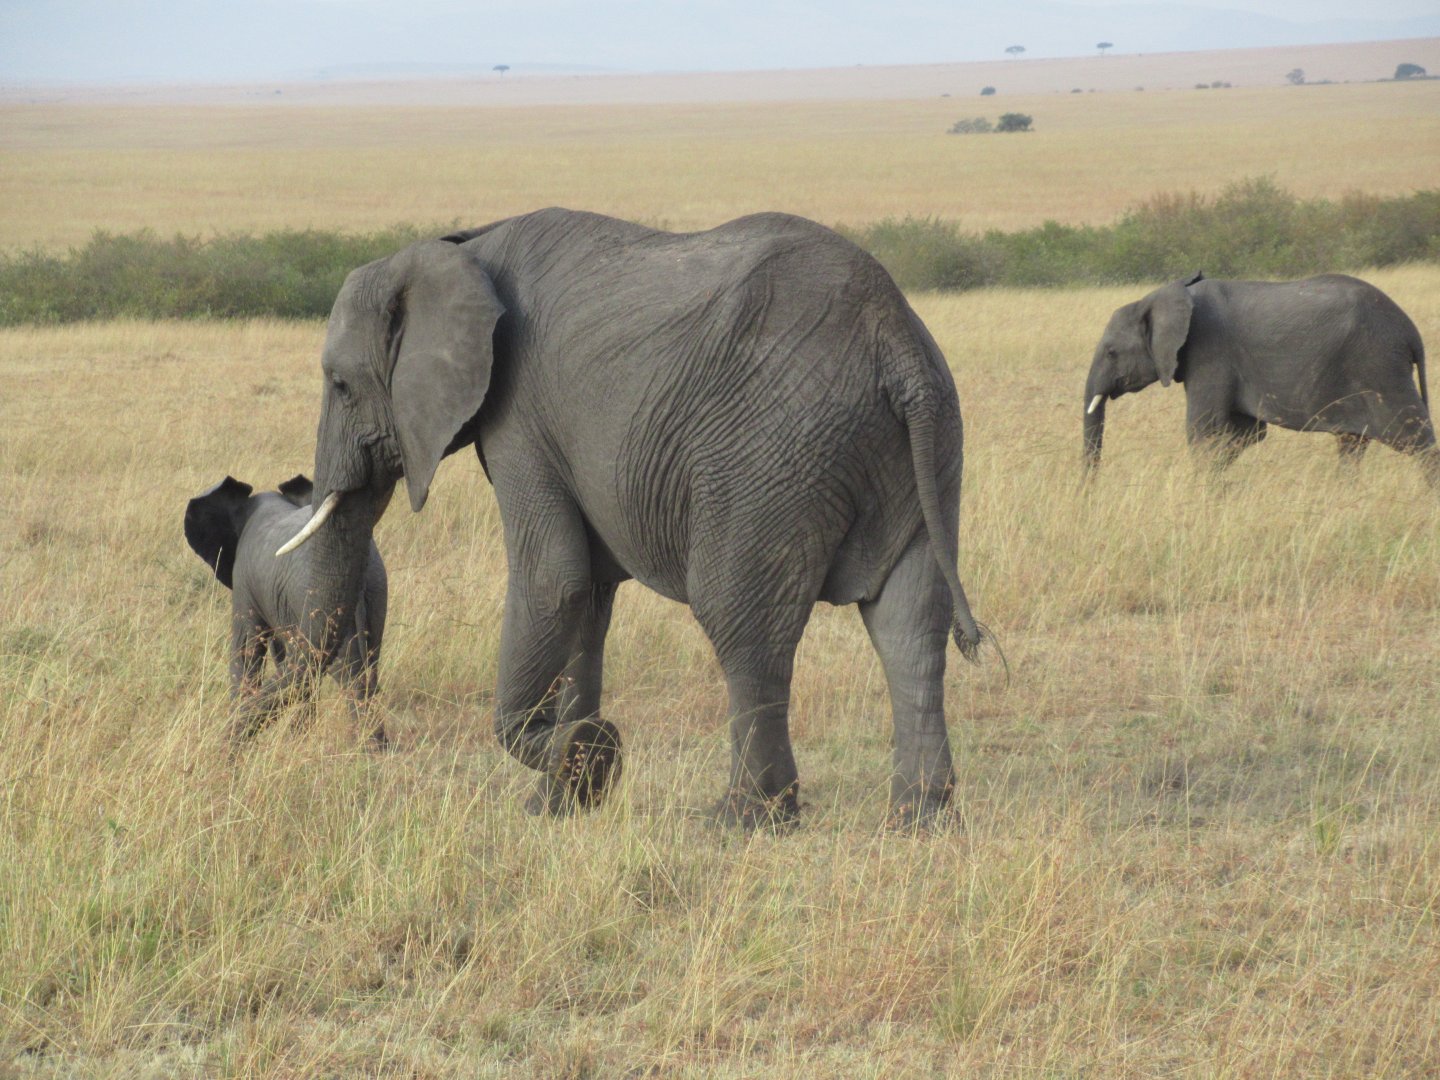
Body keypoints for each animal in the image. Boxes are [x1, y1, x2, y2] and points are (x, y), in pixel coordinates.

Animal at [268, 207, 985, 828]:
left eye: (339, 385)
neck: (461, 247)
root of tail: (894, 342)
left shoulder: (520, 416)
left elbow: (555, 579)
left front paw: (581, 756)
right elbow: (588, 599)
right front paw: (562, 797)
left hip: (771, 455)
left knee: (743, 623)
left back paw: (741, 821)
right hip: (926, 444)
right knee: (910, 625)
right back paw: (919, 820)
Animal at [1082, 272, 1436, 482]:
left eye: (1111, 352)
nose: (1090, 490)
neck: (1159, 296)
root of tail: (1411, 333)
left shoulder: (1209, 353)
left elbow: (1203, 430)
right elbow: (1244, 435)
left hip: (1380, 367)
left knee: (1417, 440)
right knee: (1352, 444)